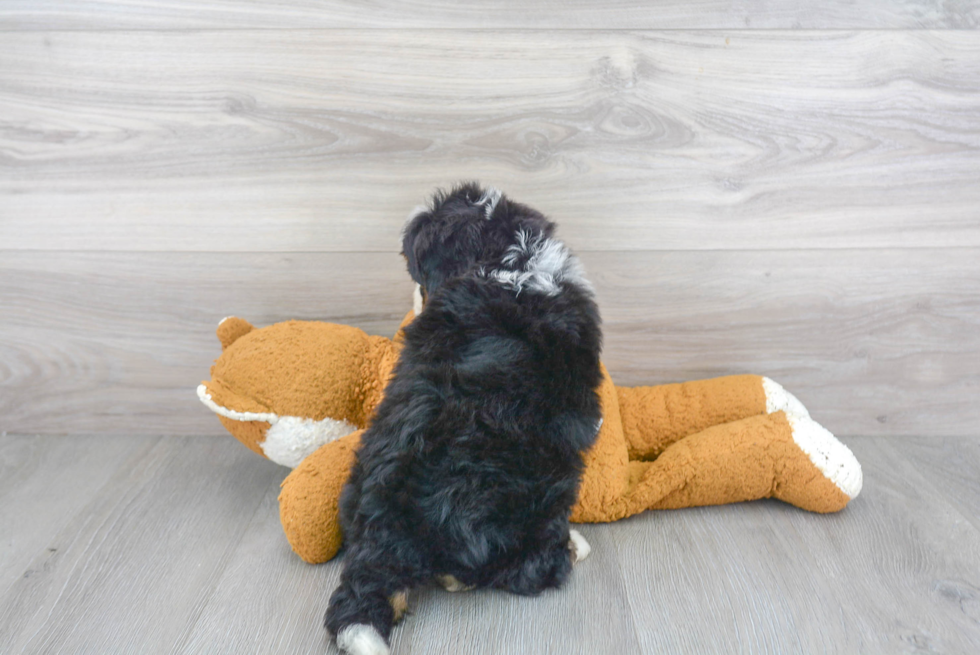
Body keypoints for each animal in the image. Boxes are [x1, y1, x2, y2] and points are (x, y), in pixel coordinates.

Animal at [326, 184, 600, 655]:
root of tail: (385, 534)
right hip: (542, 498)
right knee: (519, 569)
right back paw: (569, 549)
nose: (415, 303)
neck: (510, 263)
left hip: (357, 477)